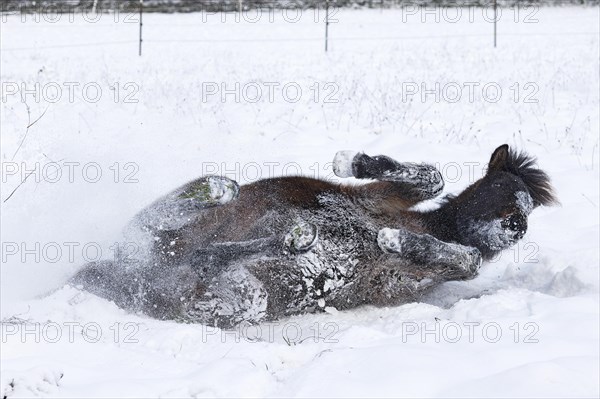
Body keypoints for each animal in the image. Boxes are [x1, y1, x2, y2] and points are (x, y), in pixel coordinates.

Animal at [71, 144, 556, 328]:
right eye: (502, 187)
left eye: (529, 207)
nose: (517, 226)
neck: (430, 227)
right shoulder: (380, 197)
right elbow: (430, 177)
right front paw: (353, 161)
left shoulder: (405, 280)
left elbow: (467, 260)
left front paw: (393, 241)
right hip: (169, 239)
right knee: (175, 228)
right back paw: (221, 190)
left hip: (241, 296)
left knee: (203, 256)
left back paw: (291, 237)